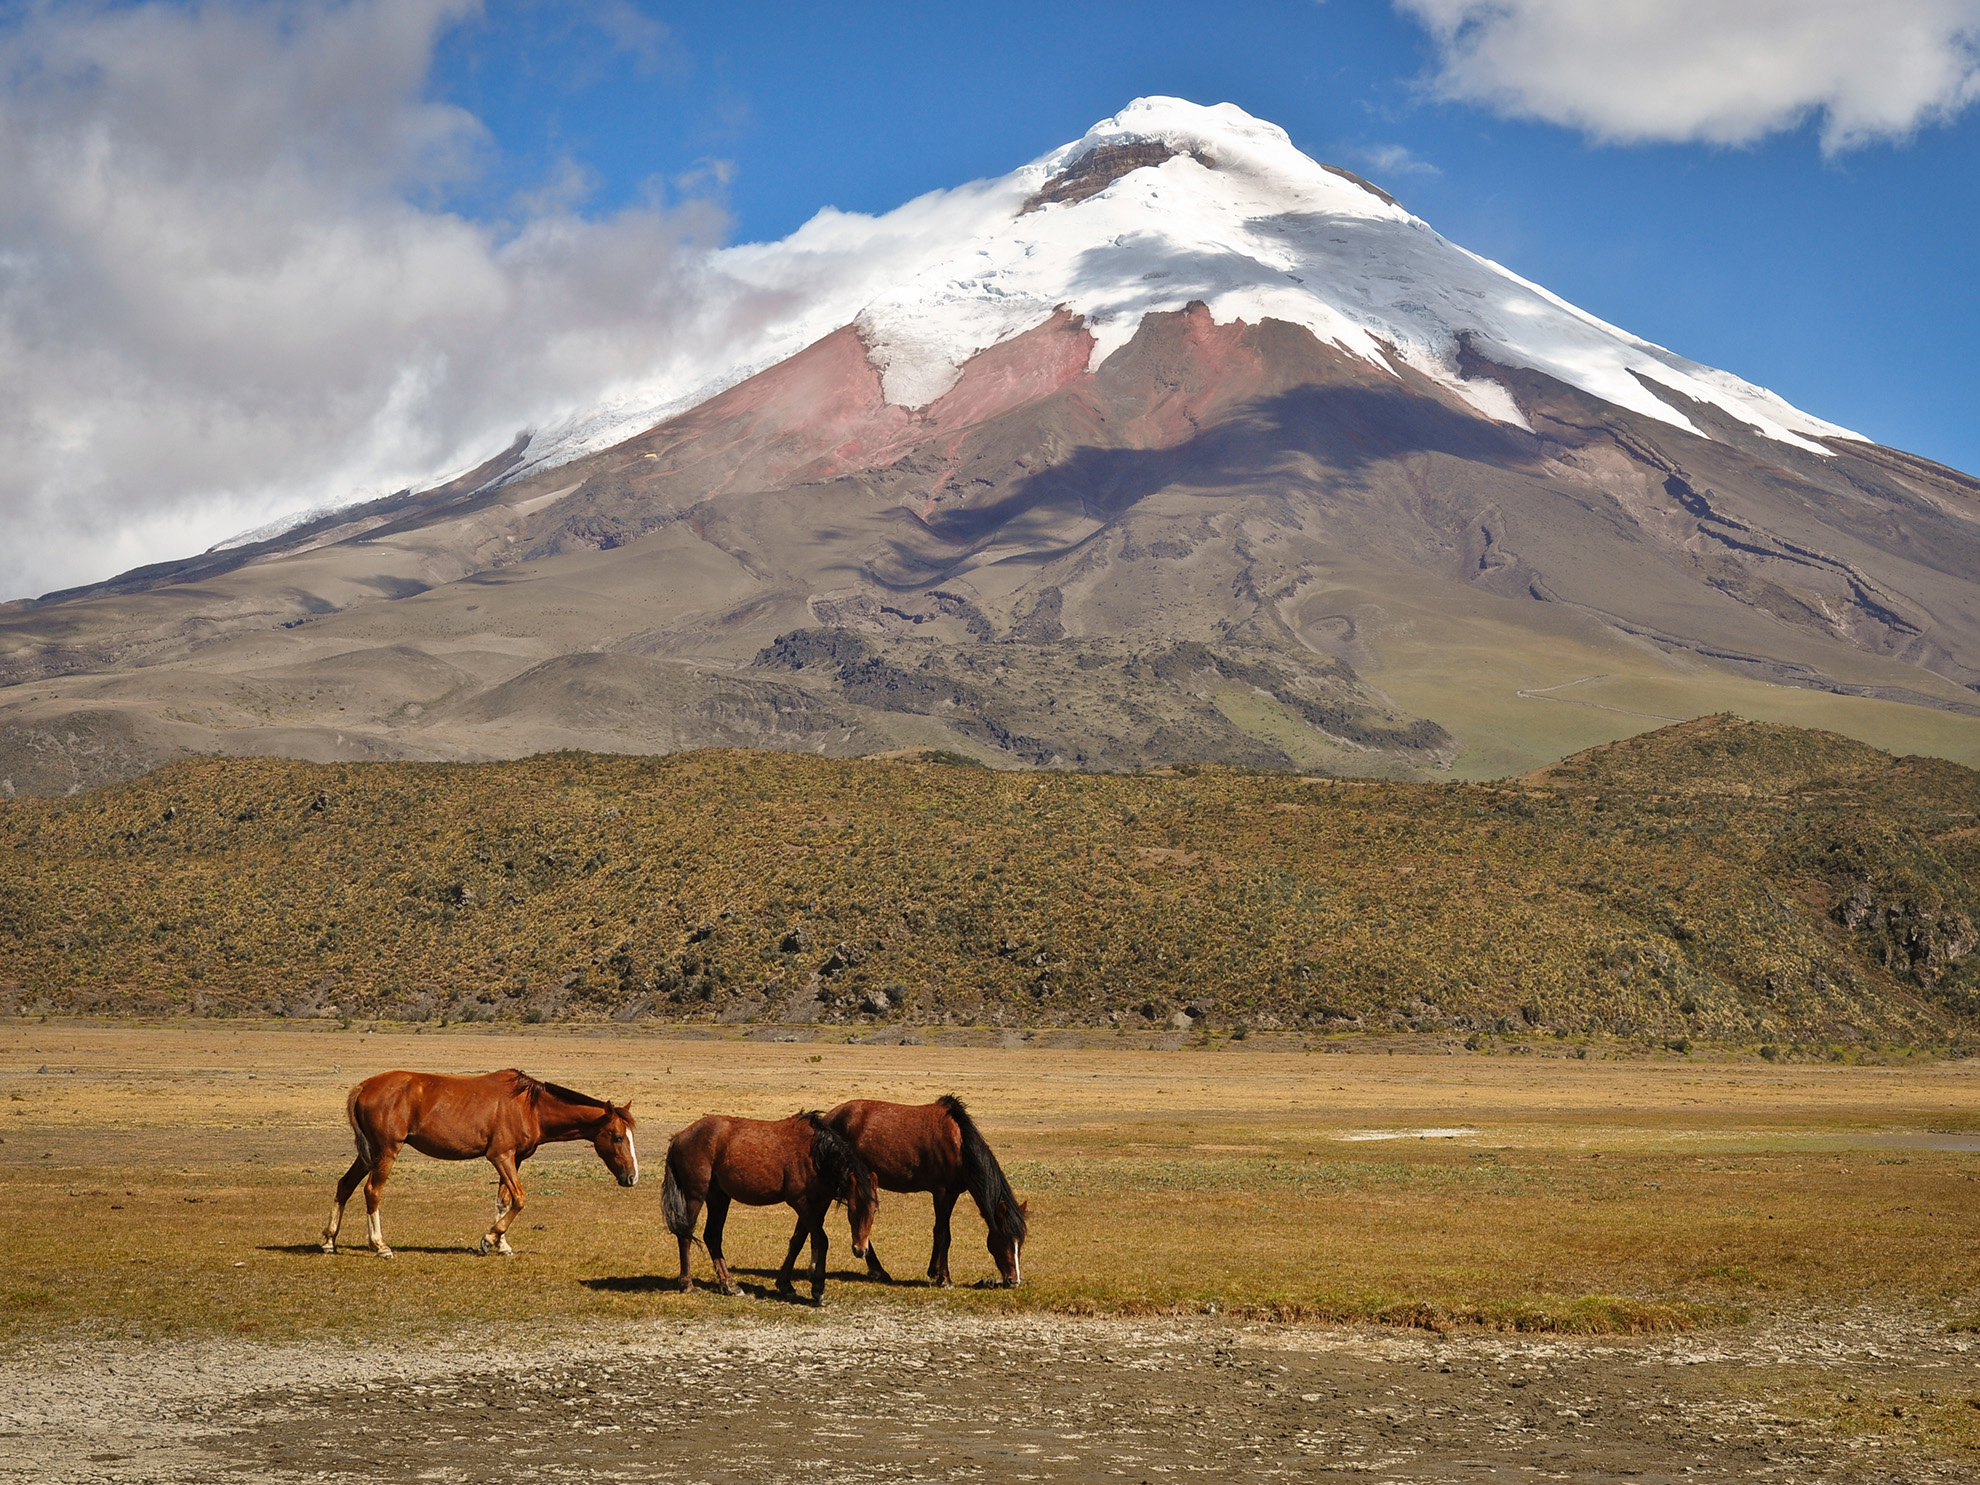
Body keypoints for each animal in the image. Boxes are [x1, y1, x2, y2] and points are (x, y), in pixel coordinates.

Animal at [320, 1061, 637, 1259]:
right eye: (617, 1137)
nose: (632, 1177)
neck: (530, 1107)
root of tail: (364, 1087)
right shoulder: (501, 1157)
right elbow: (519, 1199)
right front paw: (489, 1239)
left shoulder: (515, 1159)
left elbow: (504, 1201)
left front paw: (502, 1244)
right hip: (386, 1152)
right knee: (372, 1192)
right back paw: (380, 1246)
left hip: (369, 1155)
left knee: (344, 1186)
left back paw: (329, 1241)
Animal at [661, 1108, 879, 1306]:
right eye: (852, 1209)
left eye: (874, 1210)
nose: (860, 1250)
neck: (816, 1155)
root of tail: (679, 1137)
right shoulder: (800, 1202)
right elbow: (821, 1240)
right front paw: (818, 1288)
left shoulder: (815, 1206)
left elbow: (798, 1241)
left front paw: (786, 1285)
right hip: (695, 1196)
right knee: (686, 1235)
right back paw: (687, 1284)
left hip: (719, 1197)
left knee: (712, 1236)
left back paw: (730, 1285)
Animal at [803, 1092, 1029, 1290]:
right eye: (1005, 1238)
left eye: (1021, 1241)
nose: (1014, 1281)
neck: (960, 1145)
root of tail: (827, 1119)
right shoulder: (942, 1192)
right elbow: (943, 1233)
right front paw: (945, 1279)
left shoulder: (953, 1193)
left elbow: (940, 1233)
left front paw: (934, 1272)